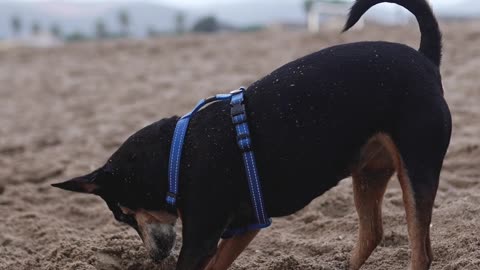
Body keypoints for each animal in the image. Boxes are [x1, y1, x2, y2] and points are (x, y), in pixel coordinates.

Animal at [51, 0, 450, 268]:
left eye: (124, 216)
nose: (153, 255)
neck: (176, 156)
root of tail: (425, 59)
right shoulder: (242, 228)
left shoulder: (201, 239)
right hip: (369, 172)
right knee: (372, 234)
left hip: (416, 168)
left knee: (421, 251)